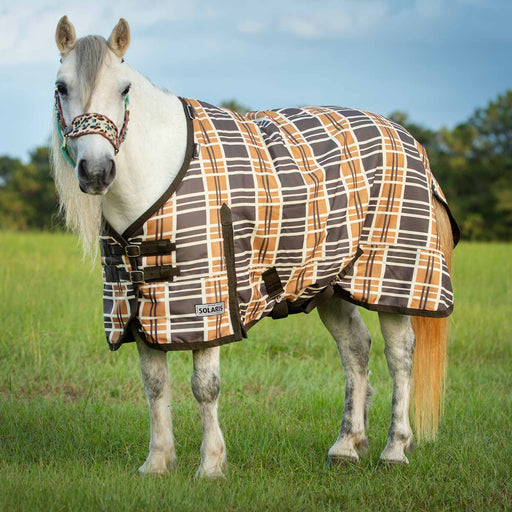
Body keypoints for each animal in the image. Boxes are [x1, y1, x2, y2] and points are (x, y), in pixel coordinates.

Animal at [52, 17, 458, 480]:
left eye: (124, 89)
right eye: (61, 87)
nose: (97, 171)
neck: (157, 176)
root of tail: (406, 137)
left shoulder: (208, 304)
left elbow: (204, 387)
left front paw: (211, 465)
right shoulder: (140, 307)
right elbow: (154, 384)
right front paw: (157, 463)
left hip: (392, 276)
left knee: (400, 356)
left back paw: (395, 449)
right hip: (329, 281)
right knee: (355, 349)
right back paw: (346, 446)